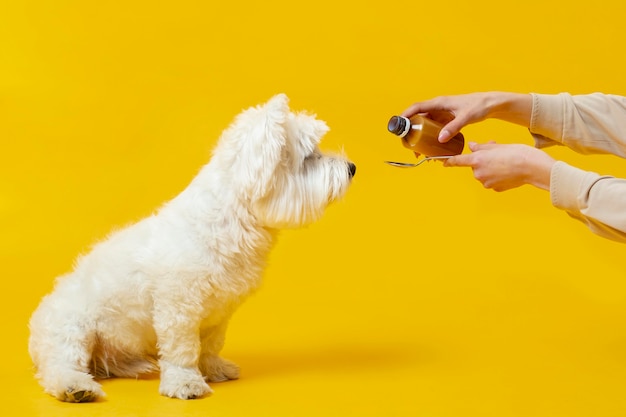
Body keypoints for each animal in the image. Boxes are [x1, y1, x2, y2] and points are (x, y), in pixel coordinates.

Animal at [28, 94, 356, 400]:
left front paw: (213, 368)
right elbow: (182, 349)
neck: (230, 222)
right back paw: (76, 387)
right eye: (309, 156)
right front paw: (185, 382)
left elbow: (210, 345)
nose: (352, 167)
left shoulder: (220, 311)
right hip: (72, 328)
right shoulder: (178, 308)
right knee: (60, 365)